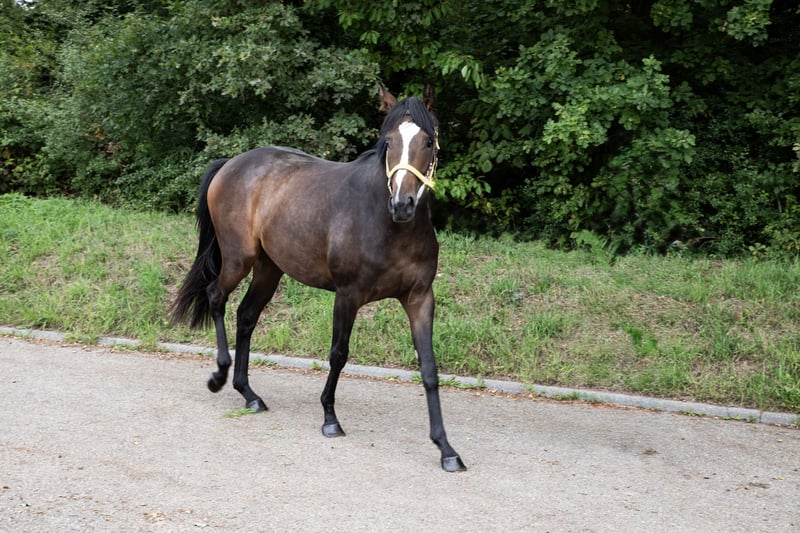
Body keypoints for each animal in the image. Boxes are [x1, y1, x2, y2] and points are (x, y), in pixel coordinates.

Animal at [171, 85, 466, 472]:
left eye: (428, 141)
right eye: (388, 140)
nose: (403, 204)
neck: (389, 226)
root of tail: (231, 164)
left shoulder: (419, 298)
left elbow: (429, 368)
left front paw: (446, 448)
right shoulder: (348, 295)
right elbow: (338, 354)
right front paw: (330, 419)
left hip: (269, 269)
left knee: (246, 316)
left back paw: (249, 394)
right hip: (238, 260)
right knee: (216, 297)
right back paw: (219, 376)